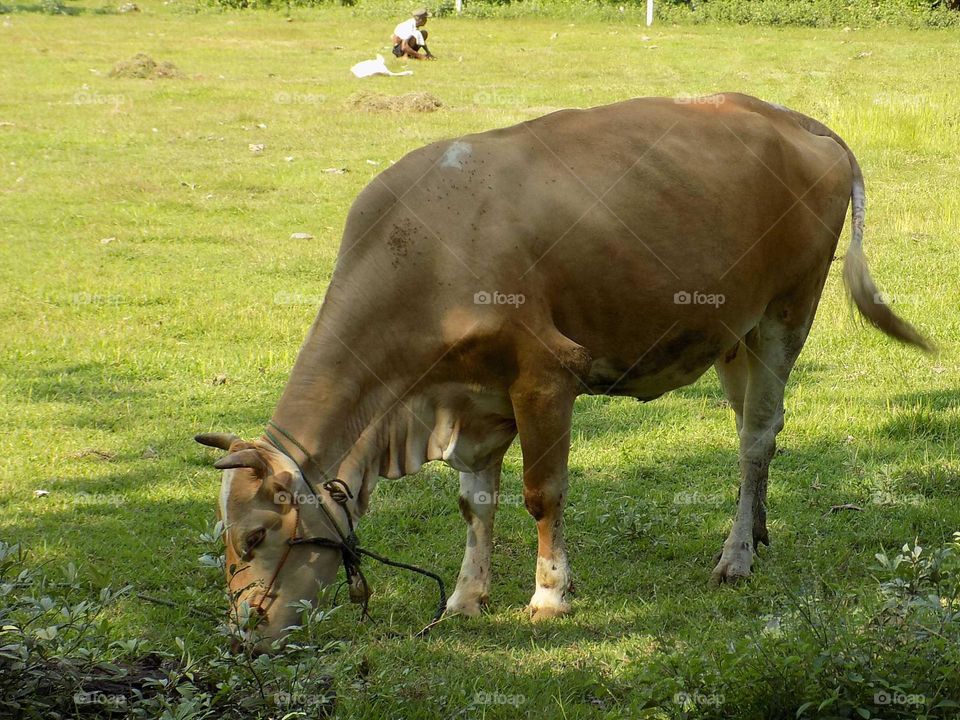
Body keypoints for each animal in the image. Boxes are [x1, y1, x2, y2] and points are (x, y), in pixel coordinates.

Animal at [196, 93, 931, 650]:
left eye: (256, 535)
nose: (242, 636)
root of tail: (791, 117)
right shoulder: (471, 395)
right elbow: (475, 501)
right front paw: (465, 597)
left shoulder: (544, 376)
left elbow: (541, 494)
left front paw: (550, 595)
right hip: (734, 334)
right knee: (762, 429)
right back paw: (757, 532)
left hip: (787, 311)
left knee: (755, 436)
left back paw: (736, 557)